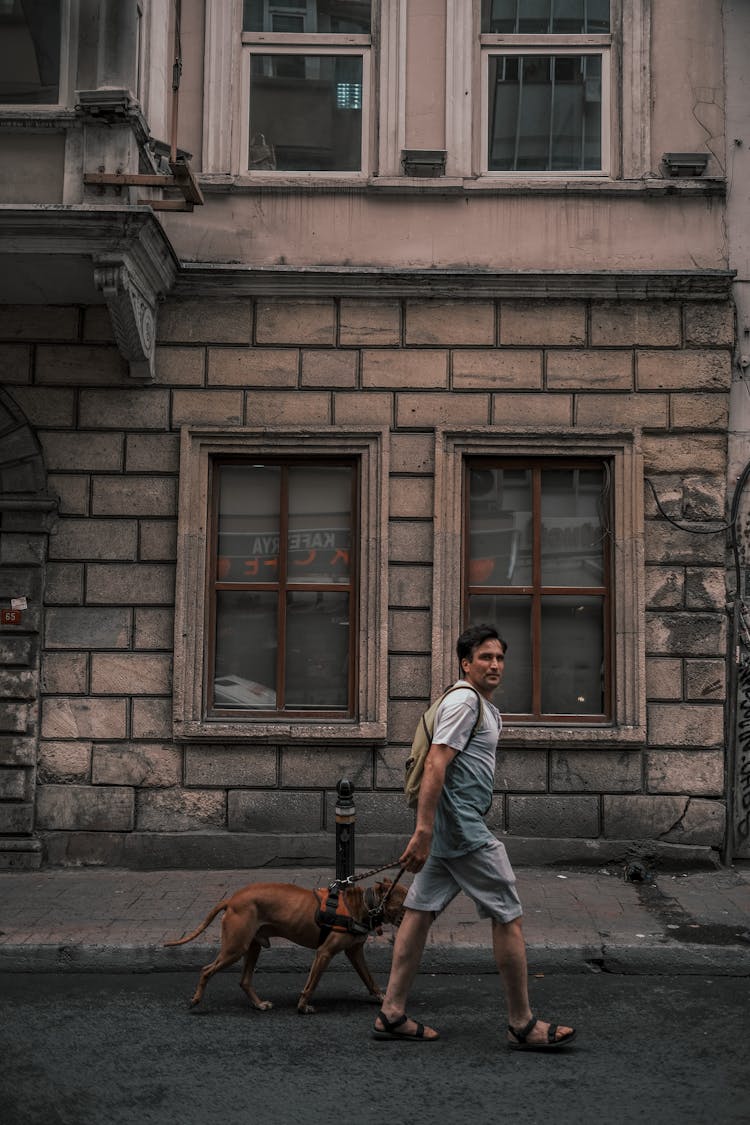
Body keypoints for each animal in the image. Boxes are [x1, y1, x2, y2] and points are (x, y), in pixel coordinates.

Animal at [165, 873, 411, 1017]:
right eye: (406, 901)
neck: (365, 905)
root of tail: (232, 899)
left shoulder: (355, 952)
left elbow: (370, 979)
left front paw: (383, 999)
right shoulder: (324, 953)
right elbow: (311, 984)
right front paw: (302, 1007)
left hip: (253, 946)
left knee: (244, 980)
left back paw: (259, 1004)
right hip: (236, 947)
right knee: (207, 970)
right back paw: (196, 999)